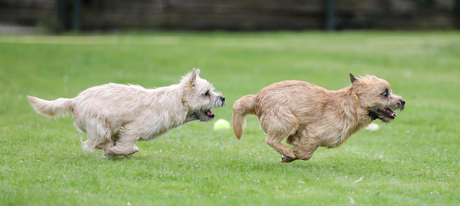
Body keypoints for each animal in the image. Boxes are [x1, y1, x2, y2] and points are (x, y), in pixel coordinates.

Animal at [27, 68, 226, 157]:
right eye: (206, 93)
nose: (223, 98)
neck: (175, 101)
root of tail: (75, 100)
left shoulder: (121, 131)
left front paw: (114, 152)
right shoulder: (132, 128)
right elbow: (126, 145)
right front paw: (118, 152)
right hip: (100, 125)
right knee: (96, 142)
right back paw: (109, 149)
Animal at [232, 74, 404, 163]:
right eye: (385, 93)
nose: (403, 101)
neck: (350, 104)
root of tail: (256, 98)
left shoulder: (301, 133)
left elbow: (297, 143)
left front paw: (288, 155)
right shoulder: (314, 133)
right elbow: (305, 154)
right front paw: (290, 155)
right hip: (288, 120)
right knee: (270, 140)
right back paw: (286, 151)